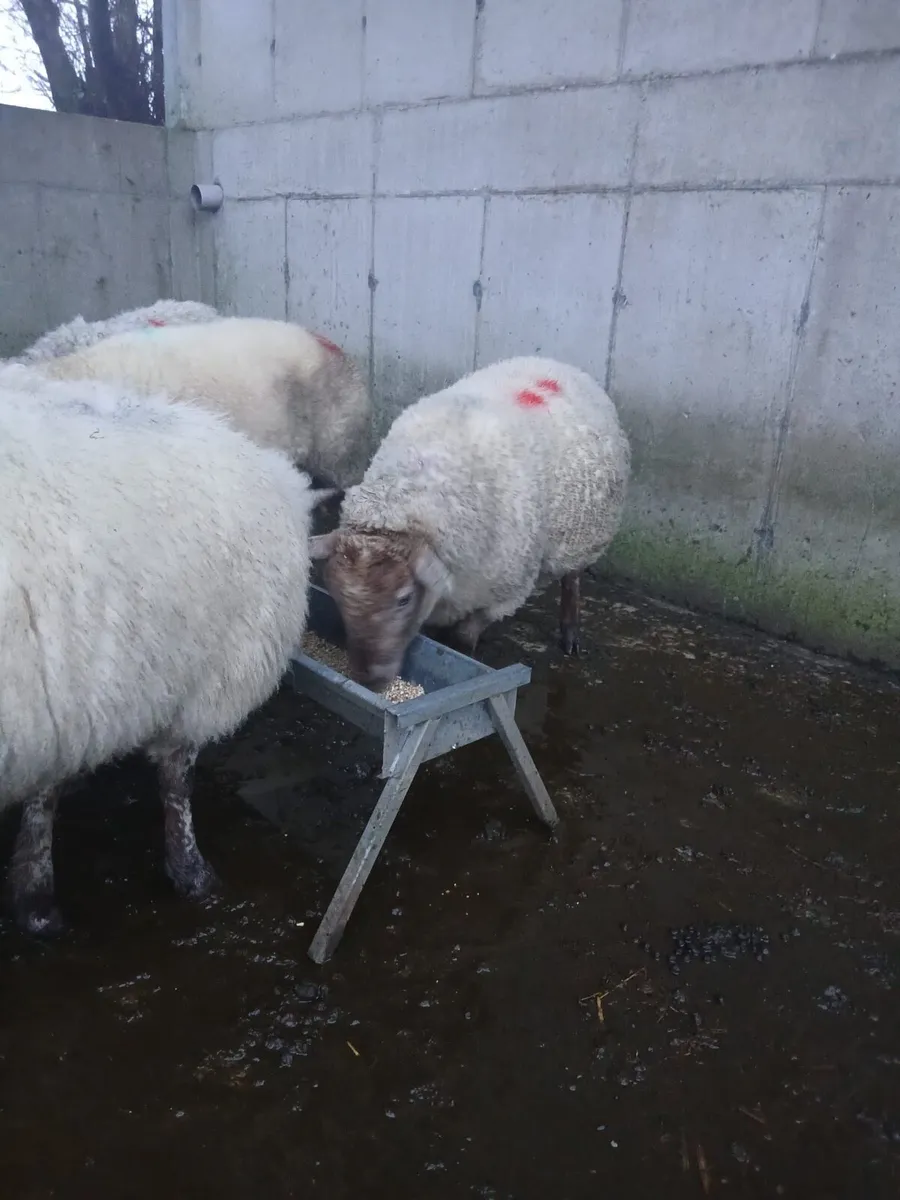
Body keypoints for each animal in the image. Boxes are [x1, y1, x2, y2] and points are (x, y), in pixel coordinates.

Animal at [0, 364, 333, 936]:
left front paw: (33, 892)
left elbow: (47, 786)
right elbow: (177, 779)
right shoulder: (201, 674)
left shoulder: (67, 691)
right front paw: (191, 872)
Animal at [309, 356, 631, 690]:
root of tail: (555, 363)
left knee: (572, 579)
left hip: (583, 535)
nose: (368, 680)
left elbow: (466, 635)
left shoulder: (503, 593)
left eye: (403, 600)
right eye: (337, 596)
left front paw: (462, 652)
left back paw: (570, 635)